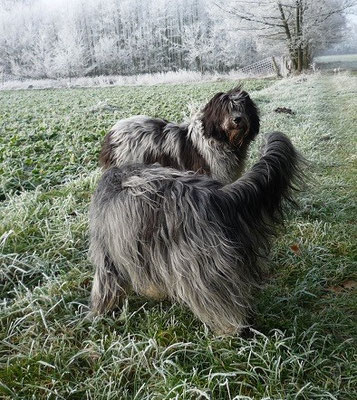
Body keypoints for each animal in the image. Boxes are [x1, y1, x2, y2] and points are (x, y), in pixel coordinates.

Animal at [87, 132, 302, 334]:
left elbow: (105, 284)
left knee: (222, 305)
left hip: (201, 267)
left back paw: (228, 330)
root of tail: (219, 196)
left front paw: (98, 312)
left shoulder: (108, 251)